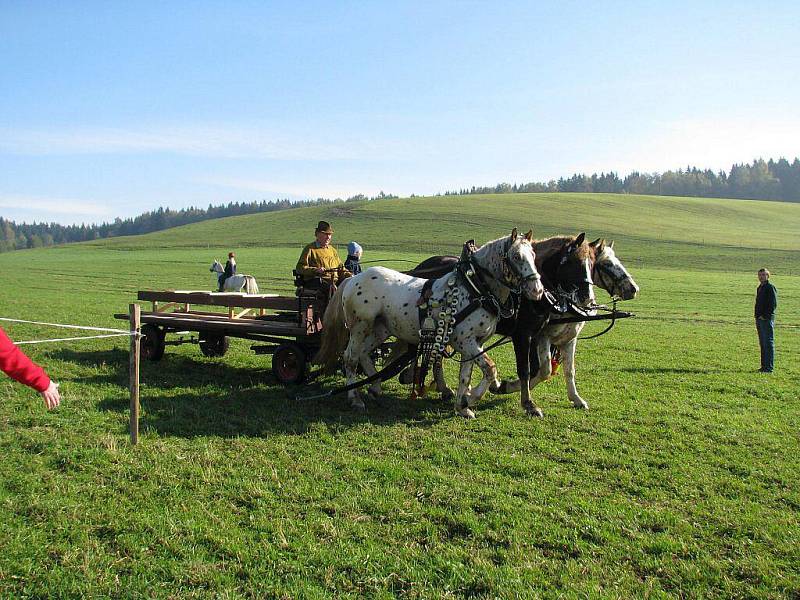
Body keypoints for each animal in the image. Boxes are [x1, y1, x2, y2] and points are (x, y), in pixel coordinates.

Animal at [316, 229, 548, 418]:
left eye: (534, 255)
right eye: (516, 256)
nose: (537, 290)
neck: (476, 288)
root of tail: (353, 279)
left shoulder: (474, 343)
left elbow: (466, 374)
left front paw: (462, 406)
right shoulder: (465, 341)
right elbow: (490, 369)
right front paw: (471, 398)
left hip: (380, 329)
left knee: (364, 353)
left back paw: (375, 387)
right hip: (359, 327)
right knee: (350, 357)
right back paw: (355, 398)